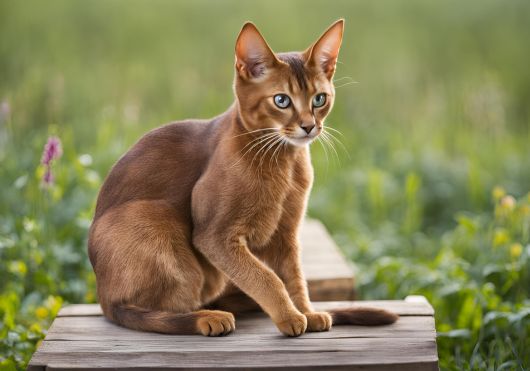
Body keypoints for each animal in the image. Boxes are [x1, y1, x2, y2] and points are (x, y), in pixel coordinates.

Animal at [87, 21, 396, 340]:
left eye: (319, 99)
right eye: (281, 100)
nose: (309, 126)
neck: (284, 165)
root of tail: (103, 297)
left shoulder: (286, 234)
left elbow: (294, 277)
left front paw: (307, 313)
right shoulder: (216, 236)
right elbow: (266, 277)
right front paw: (290, 317)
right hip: (154, 224)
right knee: (143, 311)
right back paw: (209, 317)